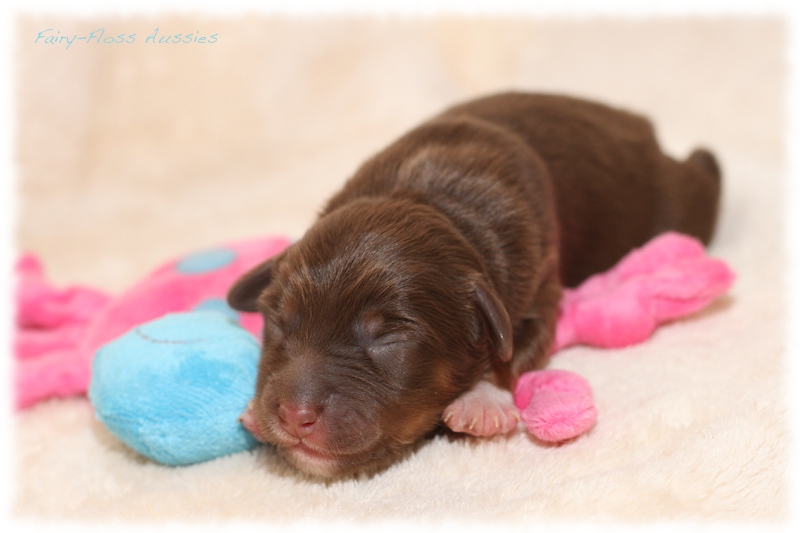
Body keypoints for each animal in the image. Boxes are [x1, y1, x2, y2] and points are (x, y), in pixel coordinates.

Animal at [228, 91, 720, 478]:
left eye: (388, 336)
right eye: (280, 322)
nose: (294, 415)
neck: (424, 197)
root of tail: (638, 124)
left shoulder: (536, 282)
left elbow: (516, 349)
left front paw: (482, 400)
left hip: (681, 202)